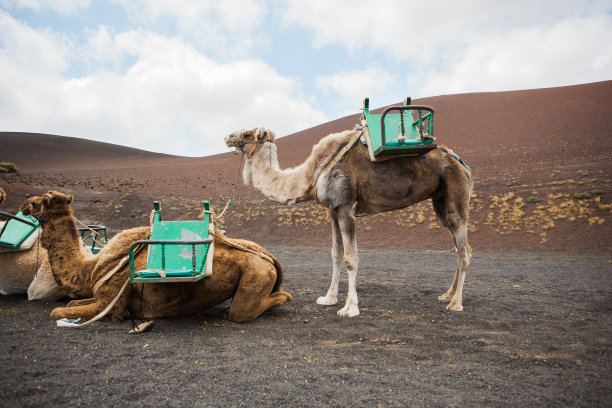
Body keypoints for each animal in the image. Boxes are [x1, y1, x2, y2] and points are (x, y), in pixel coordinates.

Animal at [20, 190, 292, 322]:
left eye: (42, 200)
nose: (24, 203)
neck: (90, 267)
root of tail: (268, 256)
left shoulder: (111, 301)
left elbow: (58, 311)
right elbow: (69, 304)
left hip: (255, 273)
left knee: (240, 312)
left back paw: (283, 297)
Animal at [225, 126, 474, 316]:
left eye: (247, 133)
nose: (227, 137)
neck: (314, 171)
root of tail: (463, 165)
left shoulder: (346, 206)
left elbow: (351, 258)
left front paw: (350, 308)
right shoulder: (333, 210)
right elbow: (336, 254)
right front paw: (329, 297)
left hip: (456, 195)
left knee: (463, 251)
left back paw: (456, 303)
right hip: (440, 202)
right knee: (461, 247)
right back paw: (447, 295)